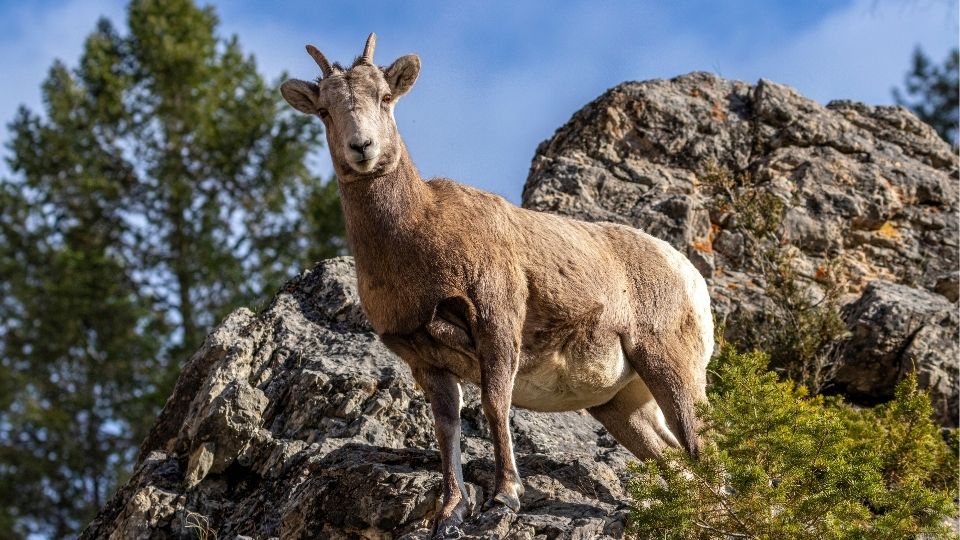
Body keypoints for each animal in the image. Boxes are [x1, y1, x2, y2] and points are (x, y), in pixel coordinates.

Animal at [280, 33, 713, 538]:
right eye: (325, 111)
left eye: (385, 97)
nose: (361, 148)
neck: (417, 233)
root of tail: (689, 276)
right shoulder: (426, 360)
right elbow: (446, 428)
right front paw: (451, 512)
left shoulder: (496, 324)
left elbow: (494, 404)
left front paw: (505, 497)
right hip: (623, 407)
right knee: (678, 462)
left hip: (672, 370)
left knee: (706, 450)